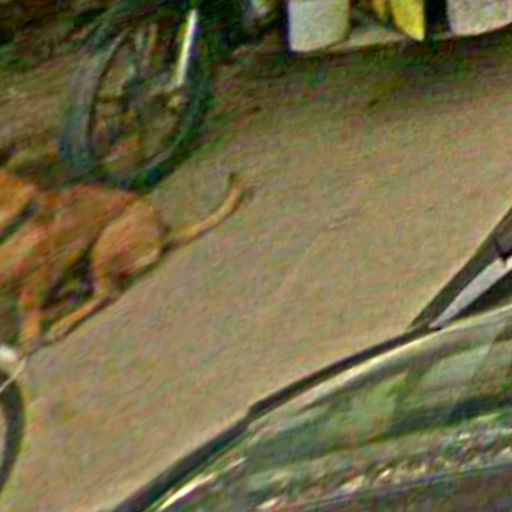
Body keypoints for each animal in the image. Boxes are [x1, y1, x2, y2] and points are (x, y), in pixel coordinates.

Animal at [0, 168, 250, 357]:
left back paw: (64, 321)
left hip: (103, 246)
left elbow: (27, 305)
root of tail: (162, 230)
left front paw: (29, 337)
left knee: (107, 293)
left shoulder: (39, 272)